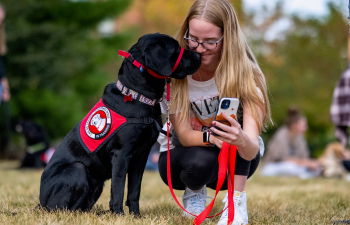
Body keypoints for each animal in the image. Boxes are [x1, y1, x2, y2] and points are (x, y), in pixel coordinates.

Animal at [39, 33, 200, 214]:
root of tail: (40, 203)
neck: (137, 96)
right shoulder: (121, 154)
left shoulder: (141, 155)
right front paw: (119, 214)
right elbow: (118, 189)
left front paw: (135, 215)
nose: (199, 55)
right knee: (65, 209)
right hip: (77, 170)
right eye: (176, 48)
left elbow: (134, 190)